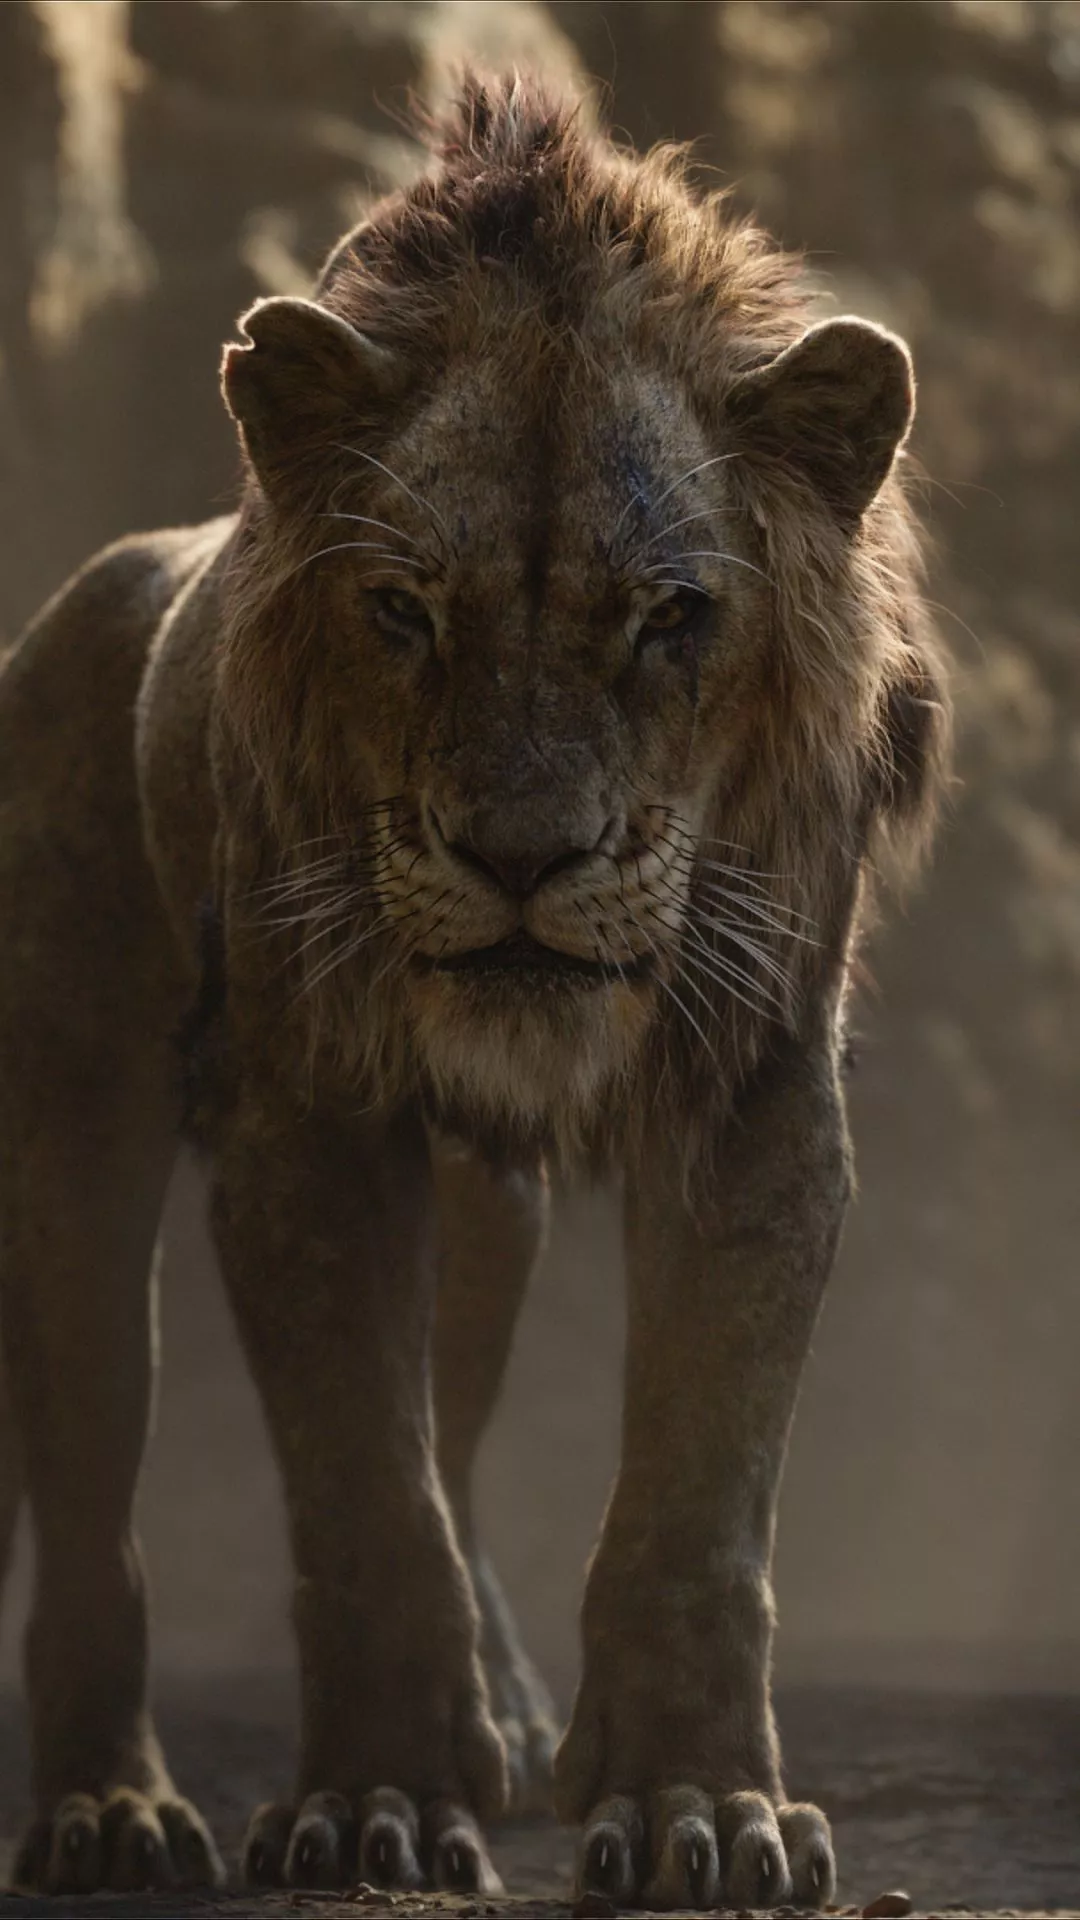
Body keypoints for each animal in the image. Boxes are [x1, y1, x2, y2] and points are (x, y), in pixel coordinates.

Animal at [0, 75, 947, 1902]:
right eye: (401, 610)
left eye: (670, 617)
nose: (522, 857)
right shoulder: (308, 1113)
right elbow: (362, 1497)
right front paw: (372, 1805)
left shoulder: (757, 1092)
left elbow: (692, 1502)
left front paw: (695, 1809)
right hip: (70, 1133)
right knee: (91, 1500)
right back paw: (107, 1812)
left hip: (485, 1212)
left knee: (451, 1417)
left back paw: (499, 1714)